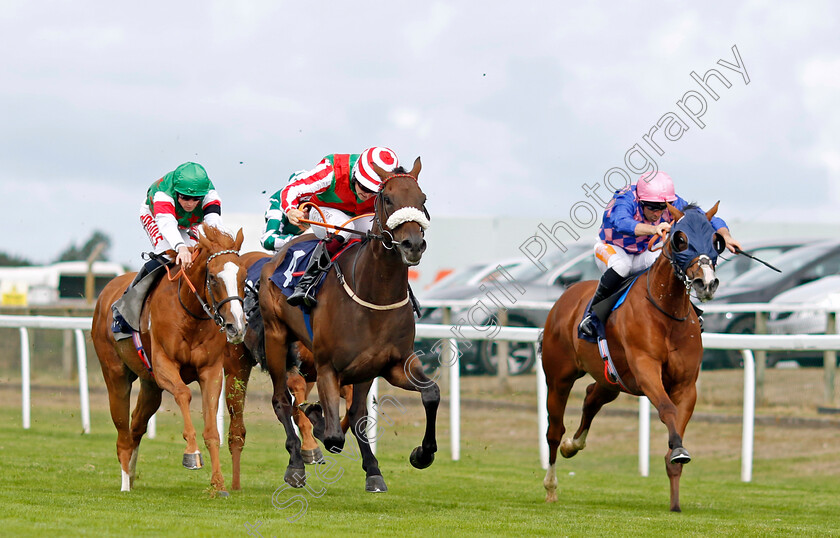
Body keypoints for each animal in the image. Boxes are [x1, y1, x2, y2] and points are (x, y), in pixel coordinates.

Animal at [94, 223, 248, 494]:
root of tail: (105, 293)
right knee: (123, 432)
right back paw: (124, 483)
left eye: (243, 277)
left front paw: (218, 483)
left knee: (136, 425)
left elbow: (212, 430)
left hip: (150, 385)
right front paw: (192, 454)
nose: (236, 327)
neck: (190, 313)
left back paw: (131, 475)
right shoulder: (164, 365)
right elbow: (183, 394)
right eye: (213, 277)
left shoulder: (210, 371)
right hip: (115, 375)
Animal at [262, 155, 436, 490]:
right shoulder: (328, 366)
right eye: (387, 198)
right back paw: (295, 464)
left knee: (354, 414)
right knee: (281, 401)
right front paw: (315, 418)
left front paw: (420, 455)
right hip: (275, 337)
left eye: (422, 199)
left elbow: (429, 393)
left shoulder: (392, 364)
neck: (374, 296)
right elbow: (331, 436)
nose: (413, 245)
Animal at [540, 202, 724, 510]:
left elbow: (677, 425)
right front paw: (678, 451)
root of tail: (566, 296)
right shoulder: (646, 369)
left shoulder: (686, 385)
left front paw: (675, 496)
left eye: (715, 239)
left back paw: (572, 445)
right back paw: (551, 486)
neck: (666, 311)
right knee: (554, 431)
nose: (706, 283)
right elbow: (667, 410)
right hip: (558, 378)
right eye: (680, 238)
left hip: (611, 379)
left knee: (591, 397)